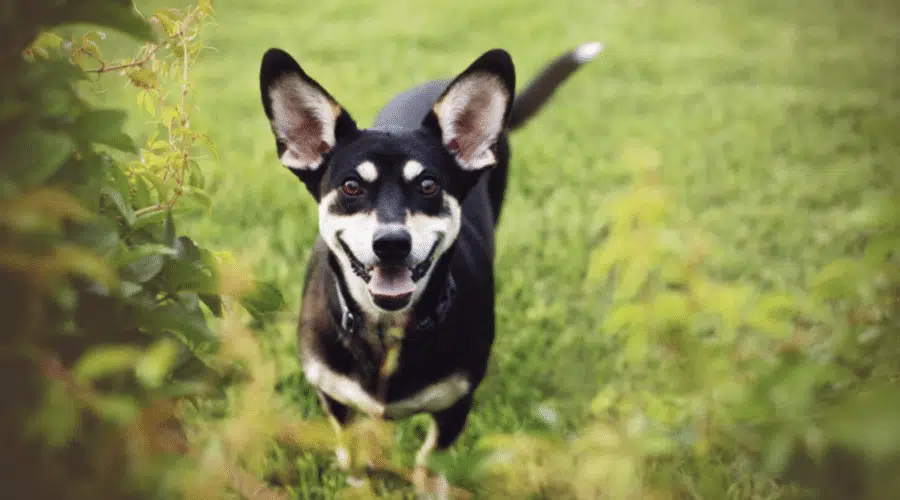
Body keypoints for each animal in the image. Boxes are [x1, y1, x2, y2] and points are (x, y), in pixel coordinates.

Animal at [256, 40, 600, 496]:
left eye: (428, 185)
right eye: (351, 187)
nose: (391, 244)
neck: (387, 330)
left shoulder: (455, 405)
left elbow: (430, 461)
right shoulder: (332, 395)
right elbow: (352, 450)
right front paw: (360, 484)